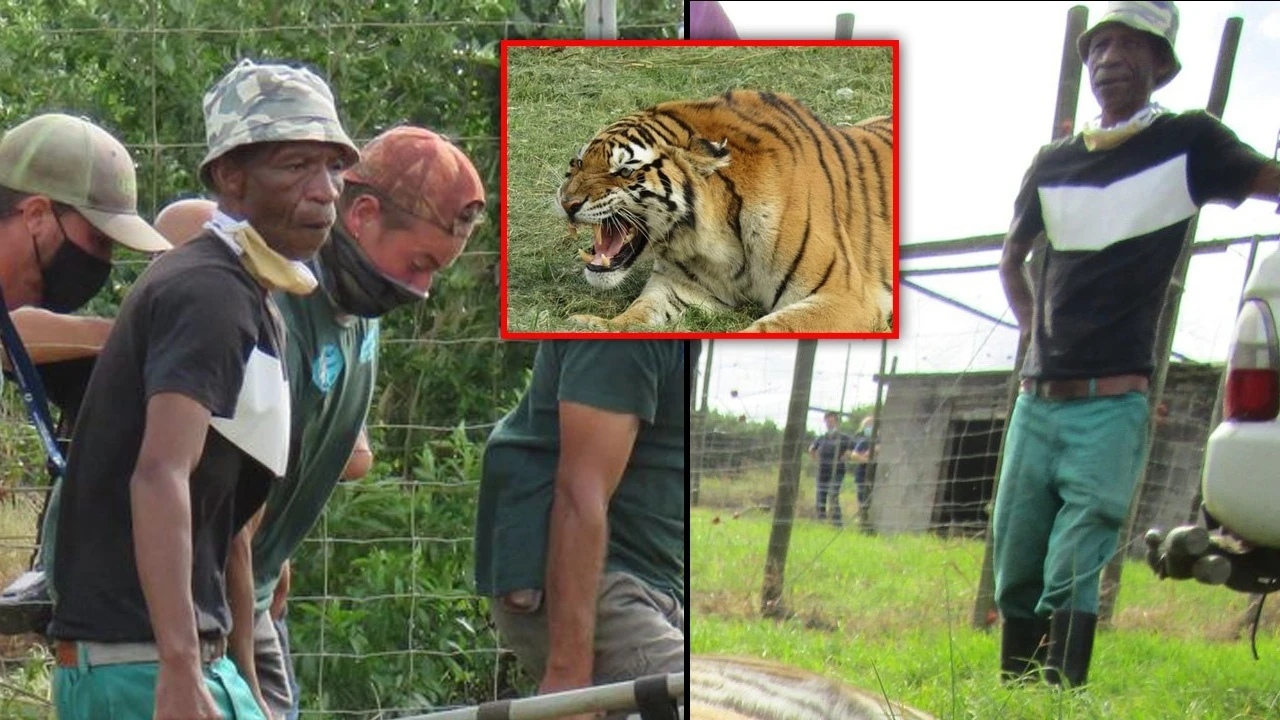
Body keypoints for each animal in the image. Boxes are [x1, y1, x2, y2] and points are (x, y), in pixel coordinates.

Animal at [555, 89, 896, 333]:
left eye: (624, 171)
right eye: (579, 163)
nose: (567, 202)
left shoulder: (844, 296)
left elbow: (770, 327)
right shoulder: (680, 287)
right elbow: (639, 311)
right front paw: (591, 325)